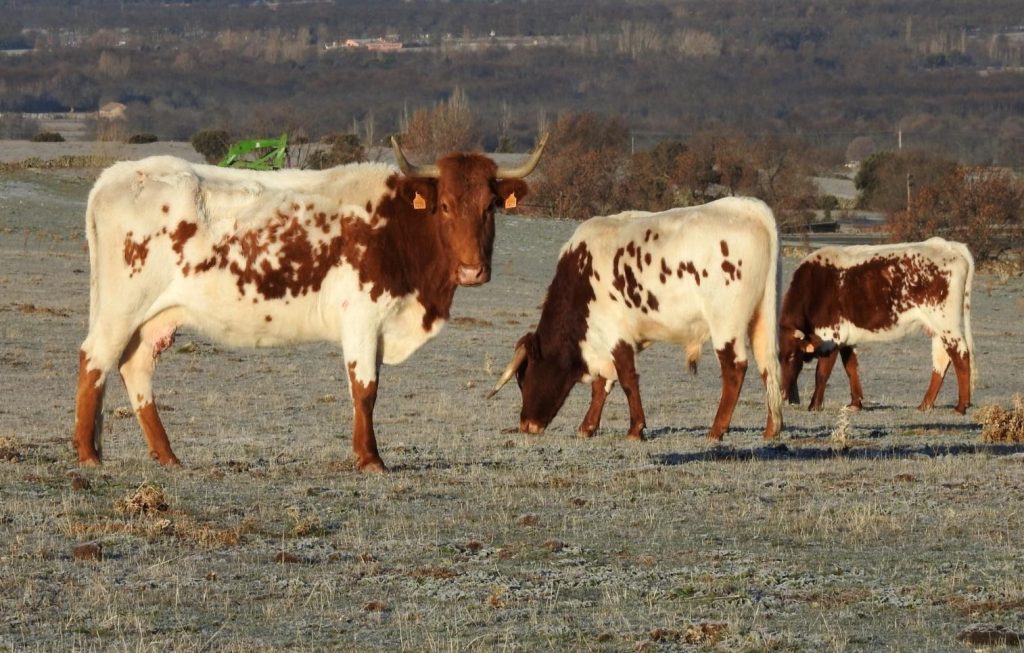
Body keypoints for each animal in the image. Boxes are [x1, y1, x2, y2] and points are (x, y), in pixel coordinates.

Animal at [73, 136, 546, 472]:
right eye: (444, 205)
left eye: (490, 207)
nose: (472, 270)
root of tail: (118, 175)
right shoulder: (361, 318)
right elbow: (366, 389)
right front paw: (370, 459)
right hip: (121, 308)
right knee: (95, 360)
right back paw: (87, 454)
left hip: (151, 318)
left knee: (135, 367)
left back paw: (166, 455)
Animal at [488, 197, 783, 443]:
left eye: (523, 378)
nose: (526, 425)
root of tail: (751, 208)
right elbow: (602, 384)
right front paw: (587, 427)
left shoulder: (615, 334)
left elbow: (626, 378)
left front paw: (635, 429)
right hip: (761, 319)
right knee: (768, 365)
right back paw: (772, 429)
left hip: (725, 324)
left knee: (734, 370)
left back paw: (716, 430)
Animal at [778, 237, 976, 414]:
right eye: (779, 357)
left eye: (792, 356)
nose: (782, 393)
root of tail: (949, 245)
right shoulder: (847, 340)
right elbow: (851, 367)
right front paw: (855, 404)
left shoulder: (831, 337)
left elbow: (821, 373)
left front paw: (814, 406)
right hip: (937, 329)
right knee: (941, 360)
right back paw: (925, 405)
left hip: (947, 324)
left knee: (960, 355)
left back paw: (961, 406)